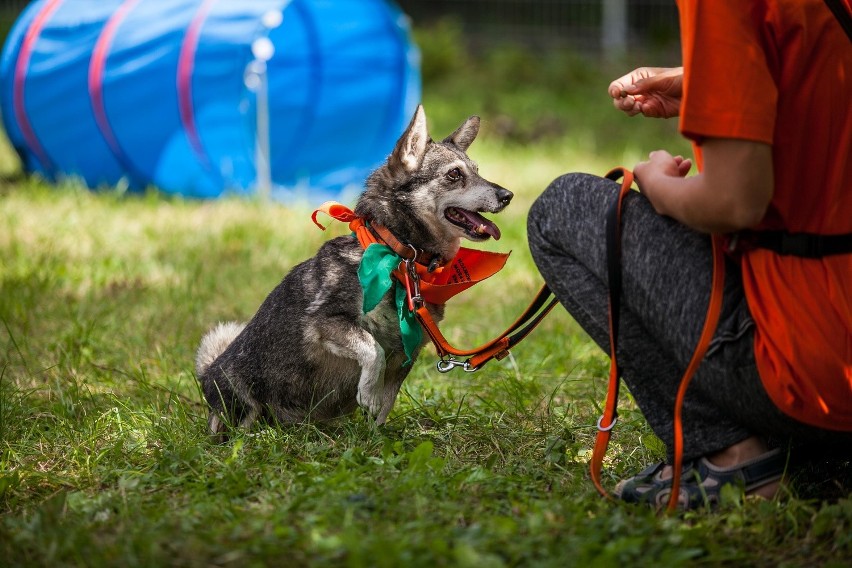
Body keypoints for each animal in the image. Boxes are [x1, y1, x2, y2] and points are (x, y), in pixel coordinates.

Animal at [194, 105, 512, 434]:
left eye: (476, 171)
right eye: (454, 174)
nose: (507, 195)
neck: (400, 259)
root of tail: (207, 372)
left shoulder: (406, 355)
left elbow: (385, 405)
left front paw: (376, 438)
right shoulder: (325, 323)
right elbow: (373, 350)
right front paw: (368, 393)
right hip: (238, 392)